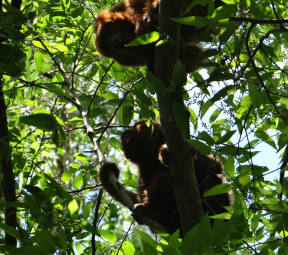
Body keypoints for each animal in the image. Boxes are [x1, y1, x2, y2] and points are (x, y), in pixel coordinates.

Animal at [99, 120, 232, 234]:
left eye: (133, 127)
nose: (125, 132)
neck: (151, 151)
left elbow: (214, 166)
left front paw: (165, 153)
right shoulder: (143, 166)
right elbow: (144, 191)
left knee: (212, 180)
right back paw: (156, 214)